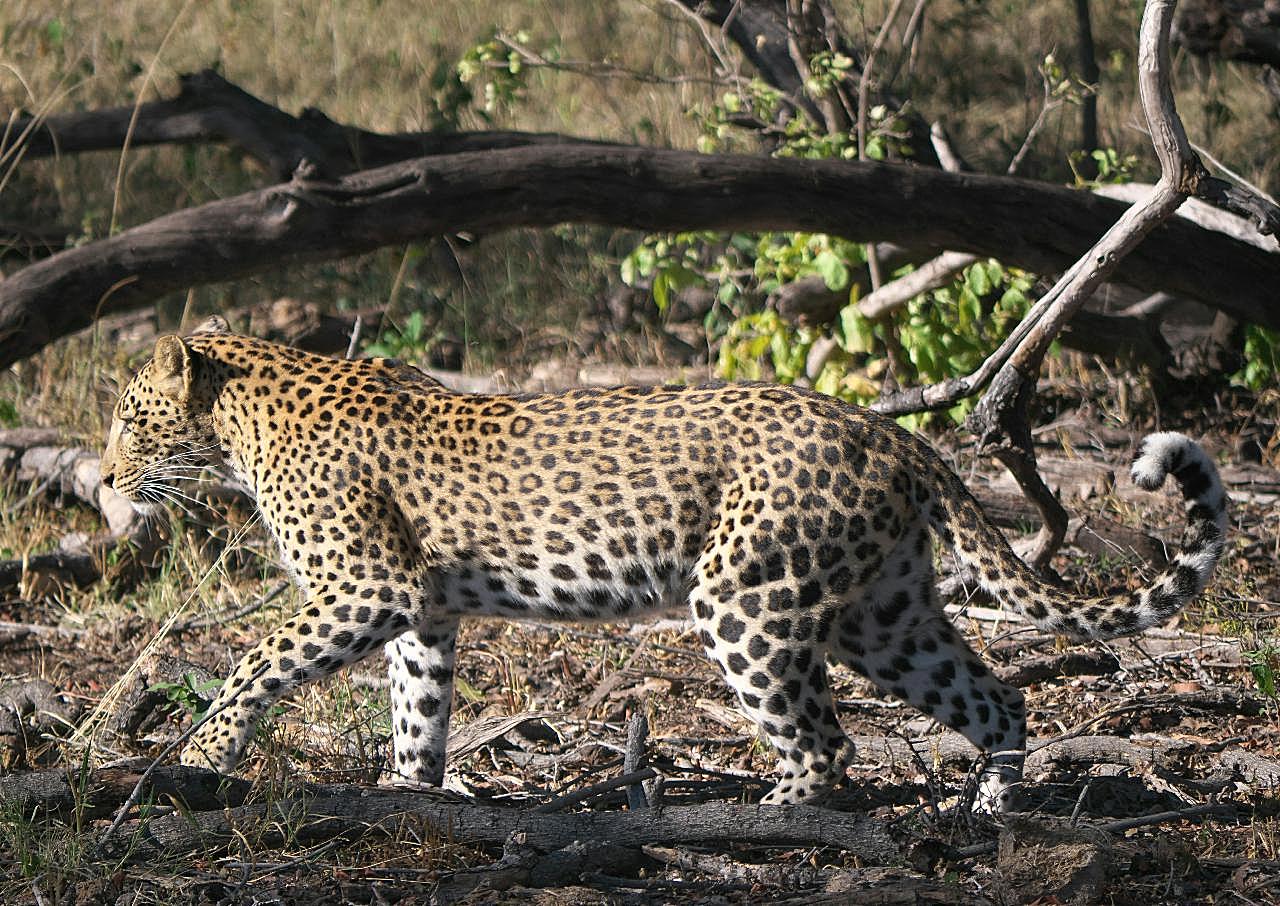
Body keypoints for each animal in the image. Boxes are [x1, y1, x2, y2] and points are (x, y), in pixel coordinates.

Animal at [102, 317, 1228, 808]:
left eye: (124, 414)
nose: (105, 474)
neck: (241, 423)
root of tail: (887, 431)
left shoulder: (366, 587)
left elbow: (254, 662)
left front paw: (202, 757)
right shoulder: (421, 607)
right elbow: (417, 710)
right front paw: (411, 796)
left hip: (747, 597)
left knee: (826, 747)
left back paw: (772, 824)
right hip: (885, 613)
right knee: (996, 700)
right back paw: (985, 822)